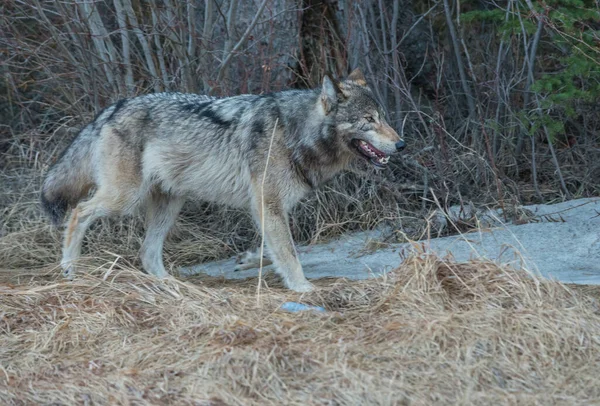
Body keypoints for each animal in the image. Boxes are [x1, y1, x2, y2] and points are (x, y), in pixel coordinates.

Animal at [42, 70, 406, 292]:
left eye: (384, 118)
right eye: (369, 120)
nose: (402, 144)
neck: (294, 133)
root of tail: (109, 110)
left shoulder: (267, 208)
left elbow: (280, 248)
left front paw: (248, 260)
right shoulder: (268, 204)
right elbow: (289, 252)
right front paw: (302, 287)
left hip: (169, 205)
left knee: (147, 252)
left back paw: (172, 286)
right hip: (124, 198)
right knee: (78, 212)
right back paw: (69, 269)